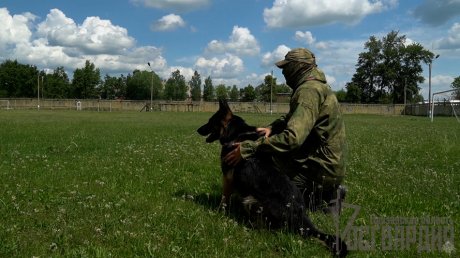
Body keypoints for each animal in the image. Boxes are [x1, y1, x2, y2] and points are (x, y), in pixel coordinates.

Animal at [198, 100, 348, 256]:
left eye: (210, 121)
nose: (198, 130)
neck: (235, 133)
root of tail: (300, 216)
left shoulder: (227, 178)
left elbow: (223, 200)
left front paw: (218, 213)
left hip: (251, 200)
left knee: (268, 229)